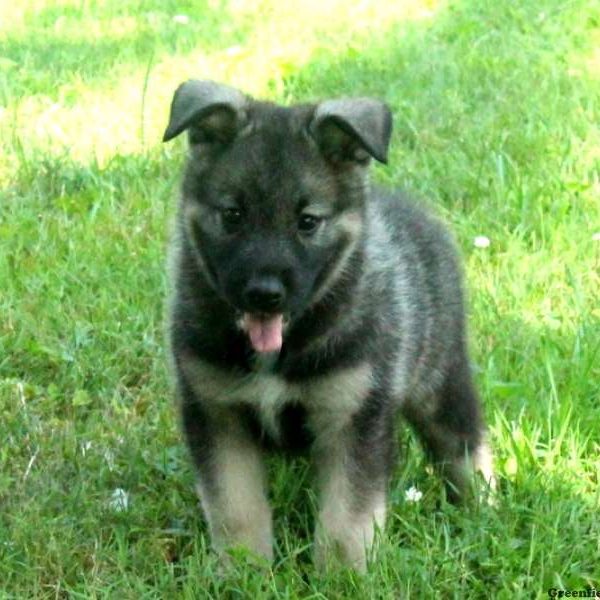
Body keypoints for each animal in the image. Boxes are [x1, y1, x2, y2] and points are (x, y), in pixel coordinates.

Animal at [162, 79, 494, 572]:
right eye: (233, 215)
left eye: (307, 222)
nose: (264, 293)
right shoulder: (217, 411)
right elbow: (235, 507)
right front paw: (243, 570)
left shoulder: (352, 415)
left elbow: (346, 519)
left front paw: (341, 576)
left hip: (440, 382)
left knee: (464, 446)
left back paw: (484, 508)